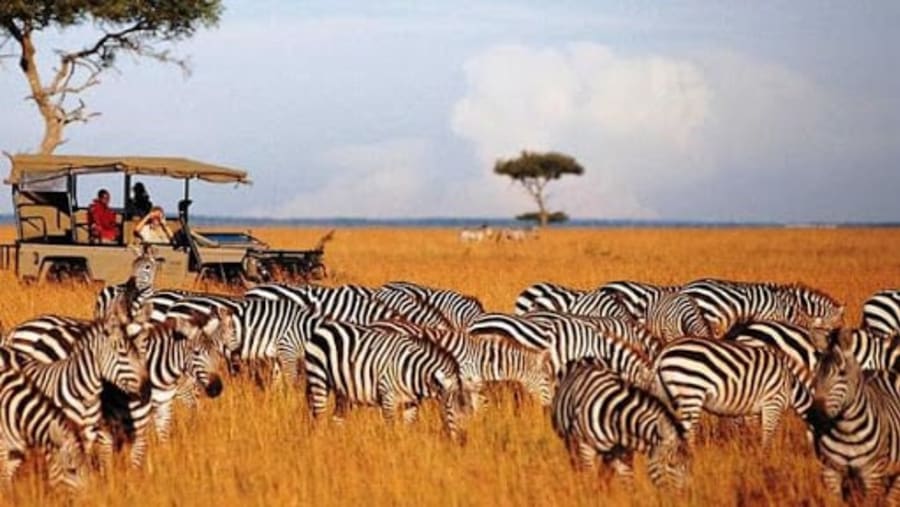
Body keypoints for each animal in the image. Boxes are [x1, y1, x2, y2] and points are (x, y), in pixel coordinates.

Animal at [304, 319, 478, 442]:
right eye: (450, 410)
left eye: (470, 412)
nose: (463, 441)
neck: (412, 370)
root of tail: (324, 327)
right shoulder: (388, 398)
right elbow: (391, 430)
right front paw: (391, 450)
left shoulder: (411, 403)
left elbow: (408, 429)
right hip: (318, 378)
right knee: (319, 419)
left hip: (342, 389)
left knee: (337, 419)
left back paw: (339, 443)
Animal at [551, 358, 690, 489]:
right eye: (671, 464)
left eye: (687, 465)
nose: (684, 494)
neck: (614, 419)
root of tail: (585, 360)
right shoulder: (586, 447)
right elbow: (589, 477)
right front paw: (588, 494)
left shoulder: (623, 454)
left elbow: (628, 484)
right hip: (570, 441)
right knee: (577, 466)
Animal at [652, 337, 811, 446]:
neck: (791, 385)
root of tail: (664, 351)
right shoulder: (773, 402)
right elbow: (768, 434)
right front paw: (764, 458)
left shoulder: (753, 409)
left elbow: (754, 430)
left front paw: (751, 450)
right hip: (691, 392)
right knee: (689, 432)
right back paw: (693, 457)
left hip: (667, 395)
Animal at [808, 330, 900, 502]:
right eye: (815, 372)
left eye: (842, 373)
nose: (815, 416)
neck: (847, 430)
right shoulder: (830, 472)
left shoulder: (873, 475)